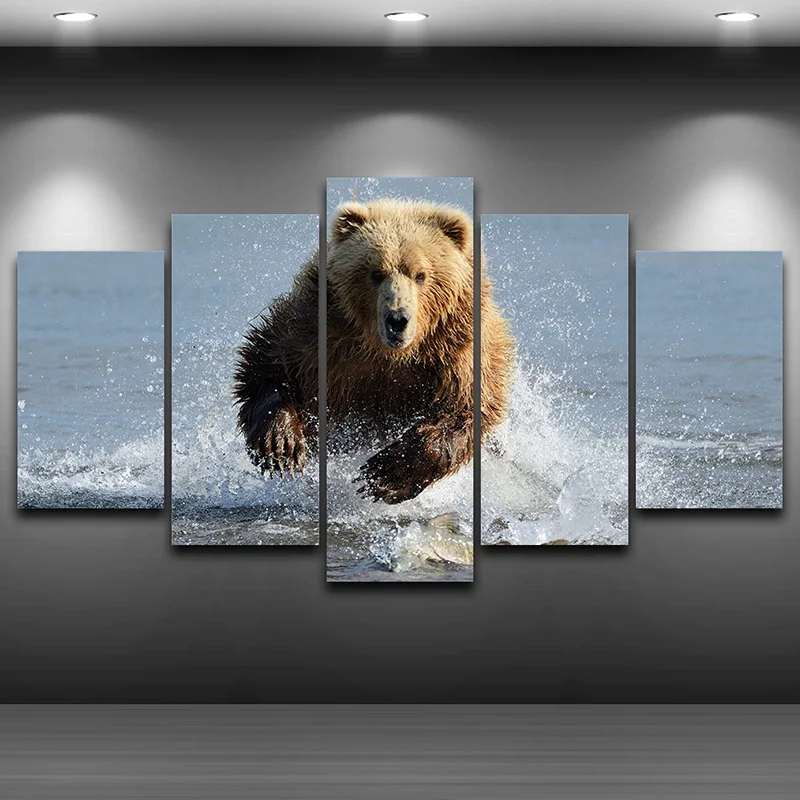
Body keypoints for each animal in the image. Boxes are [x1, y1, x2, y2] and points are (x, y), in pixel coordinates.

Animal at [233, 198, 515, 504]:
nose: (398, 319)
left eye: (421, 275)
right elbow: (269, 365)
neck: (387, 352)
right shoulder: (317, 329)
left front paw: (383, 475)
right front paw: (282, 446)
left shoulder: (455, 350)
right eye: (376, 273)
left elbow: (462, 410)